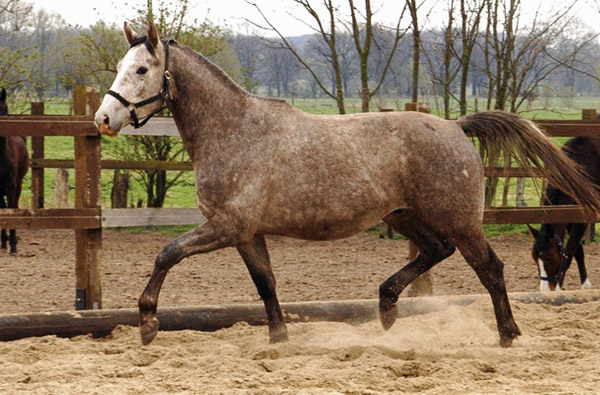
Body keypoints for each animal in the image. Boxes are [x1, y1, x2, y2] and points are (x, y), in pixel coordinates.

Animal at [528, 138, 596, 292]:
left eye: (551, 258)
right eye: (535, 259)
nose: (546, 290)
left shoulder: (582, 219)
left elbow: (569, 253)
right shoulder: (569, 217)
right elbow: (578, 250)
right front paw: (585, 285)